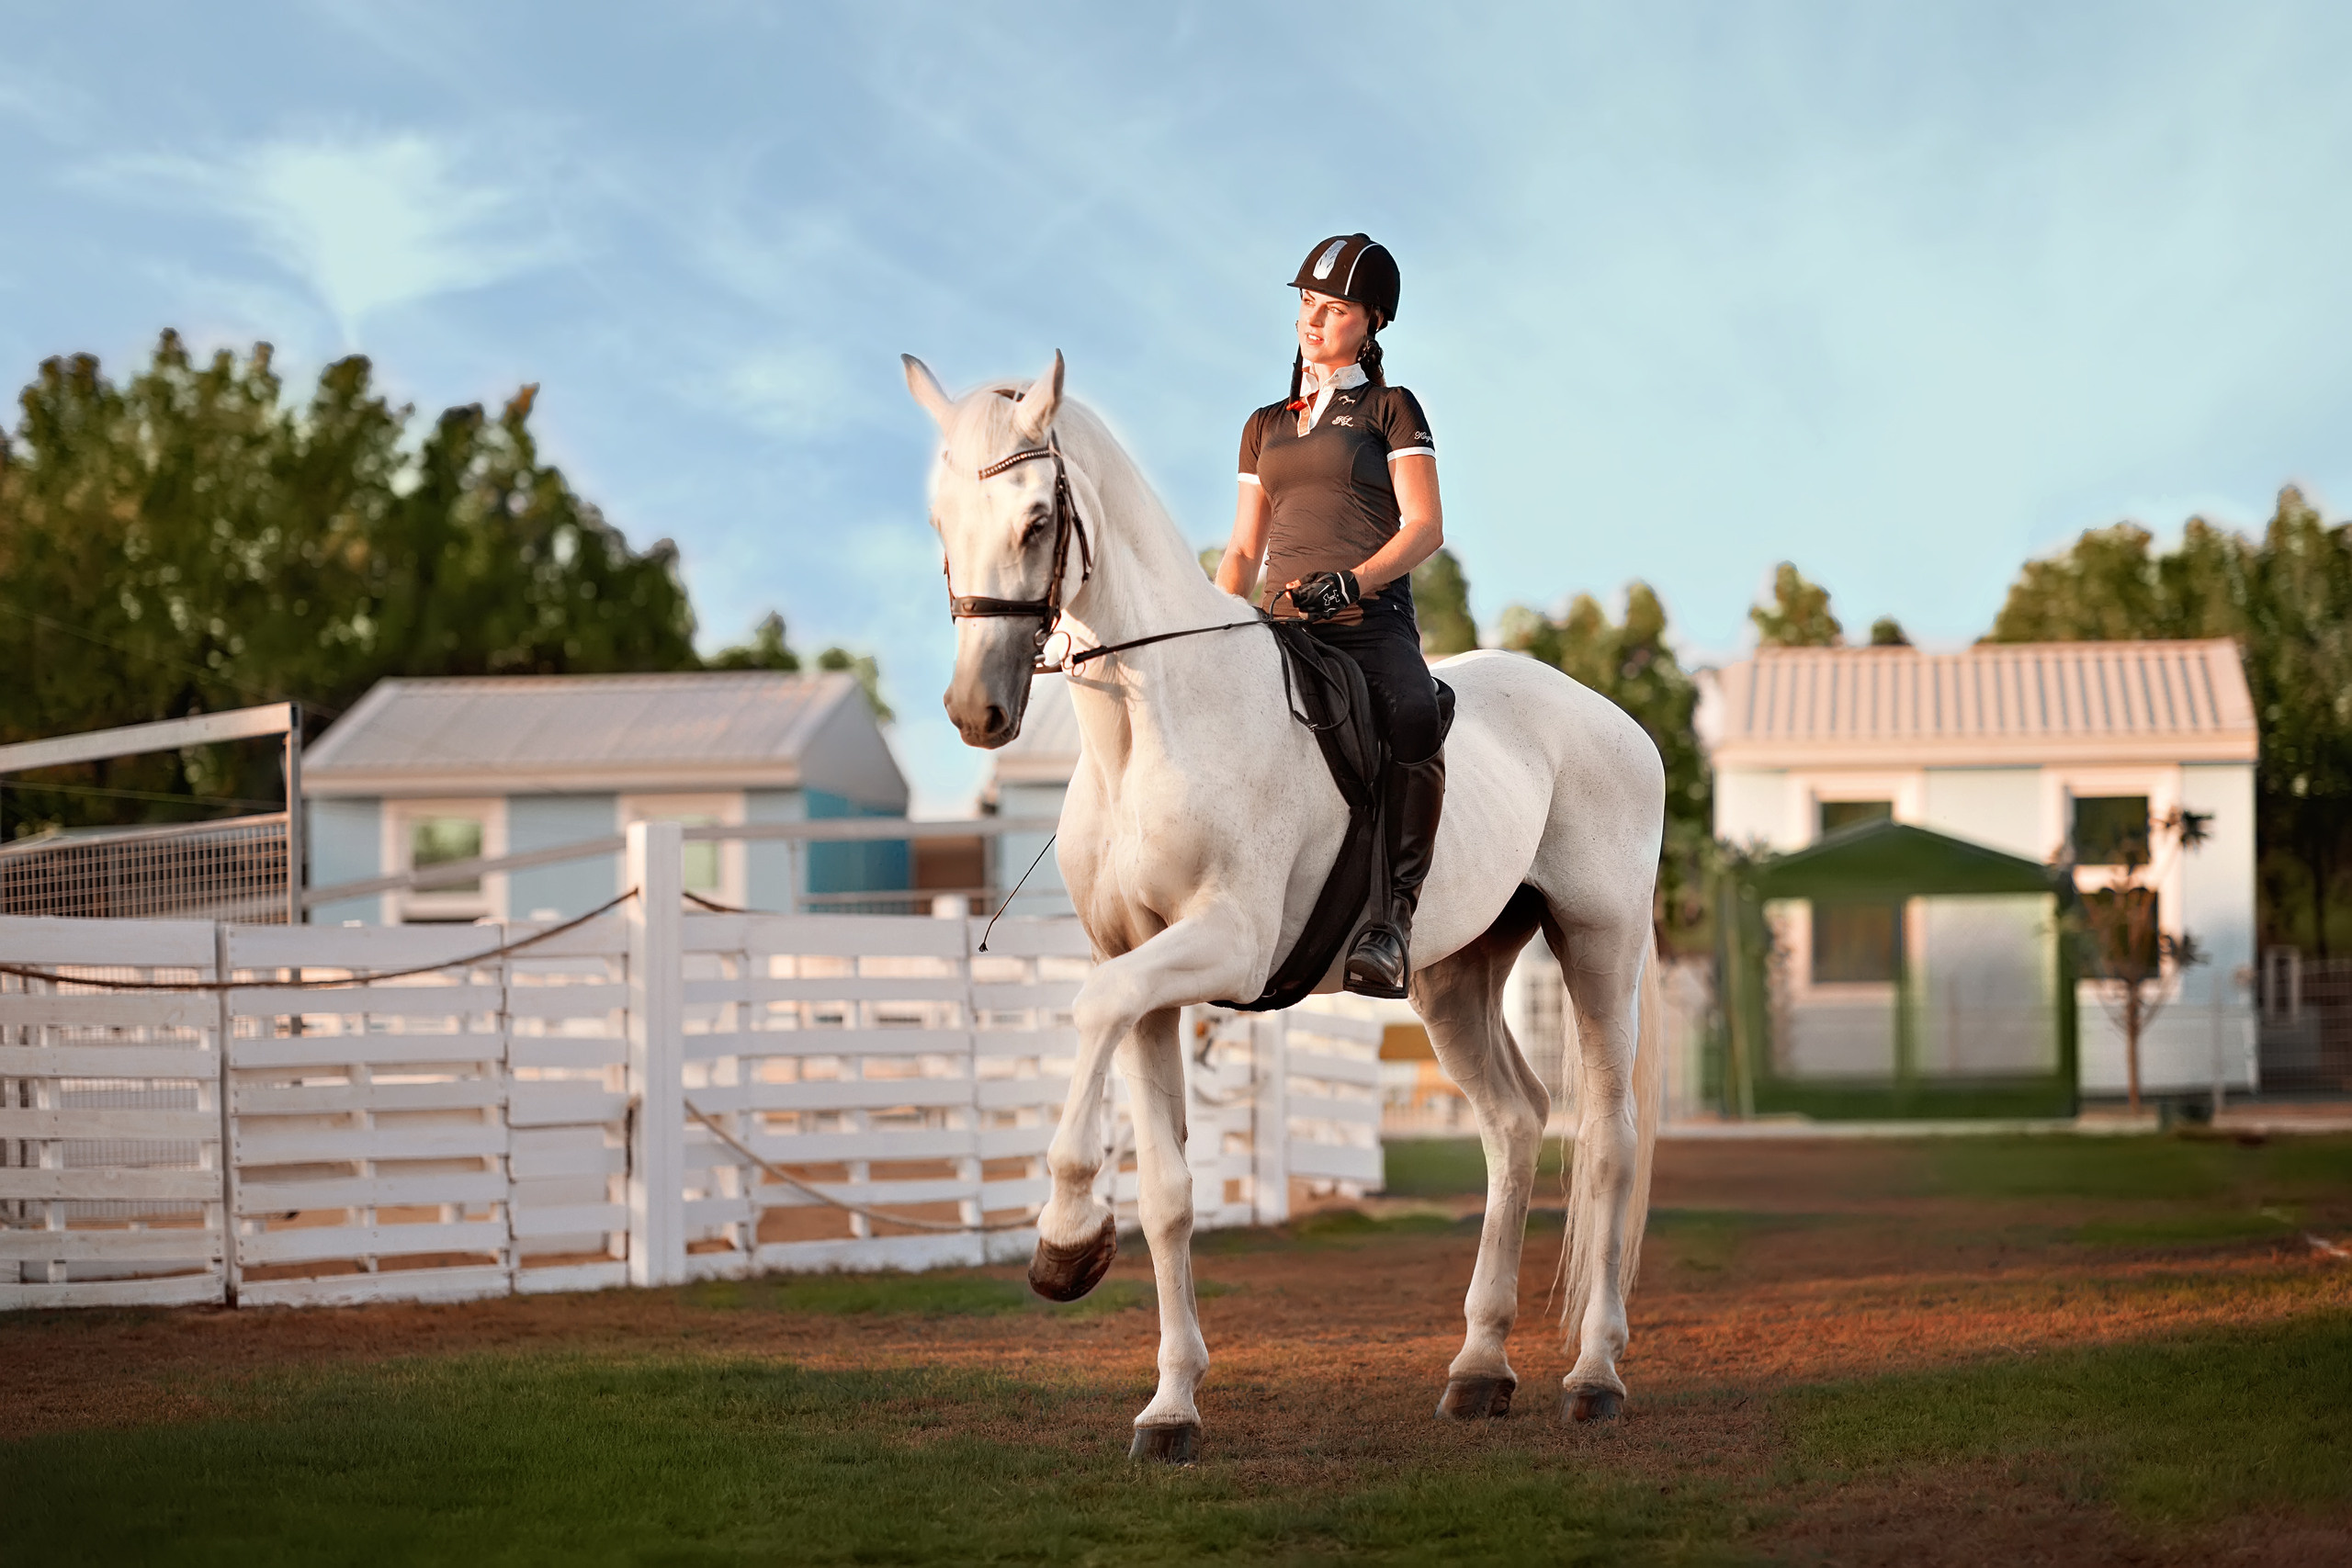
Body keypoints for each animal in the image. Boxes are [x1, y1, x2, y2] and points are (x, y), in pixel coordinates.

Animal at [904, 350, 1666, 1460]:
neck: (1153, 724)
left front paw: (1064, 1243)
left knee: (1607, 1140)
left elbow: (1091, 1012)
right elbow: (1169, 1191)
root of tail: (1617, 722)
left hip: (1598, 943)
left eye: (1040, 518)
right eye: (939, 519)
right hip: (1454, 976)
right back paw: (1479, 1369)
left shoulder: (1226, 944)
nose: (976, 710)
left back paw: (1595, 1376)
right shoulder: (1146, 971)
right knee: (1515, 1125)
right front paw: (1170, 1406)